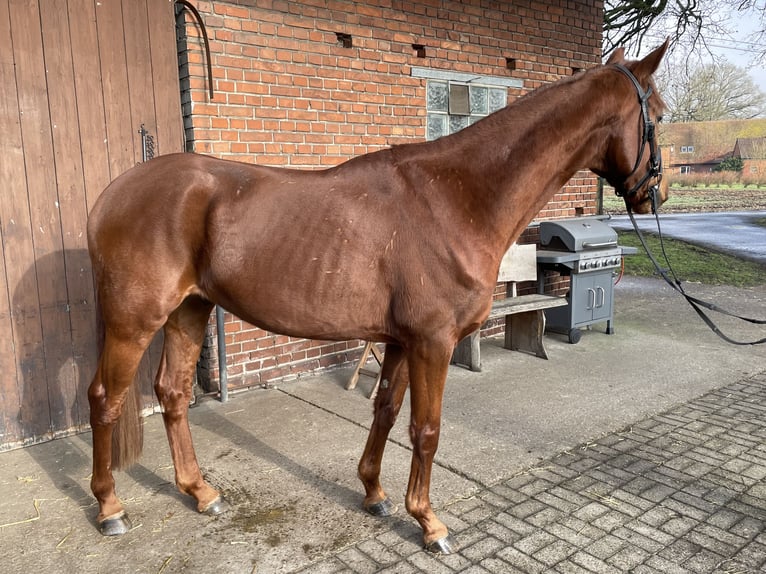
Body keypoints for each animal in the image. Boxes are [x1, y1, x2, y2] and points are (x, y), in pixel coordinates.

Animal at [87, 42, 668, 556]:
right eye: (658, 116)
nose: (654, 195)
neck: (454, 198)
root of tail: (112, 194)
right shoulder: (433, 341)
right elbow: (426, 430)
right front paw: (430, 523)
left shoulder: (400, 340)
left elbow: (386, 410)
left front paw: (374, 493)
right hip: (135, 320)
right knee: (106, 399)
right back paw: (110, 507)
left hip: (189, 310)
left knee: (172, 393)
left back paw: (200, 492)